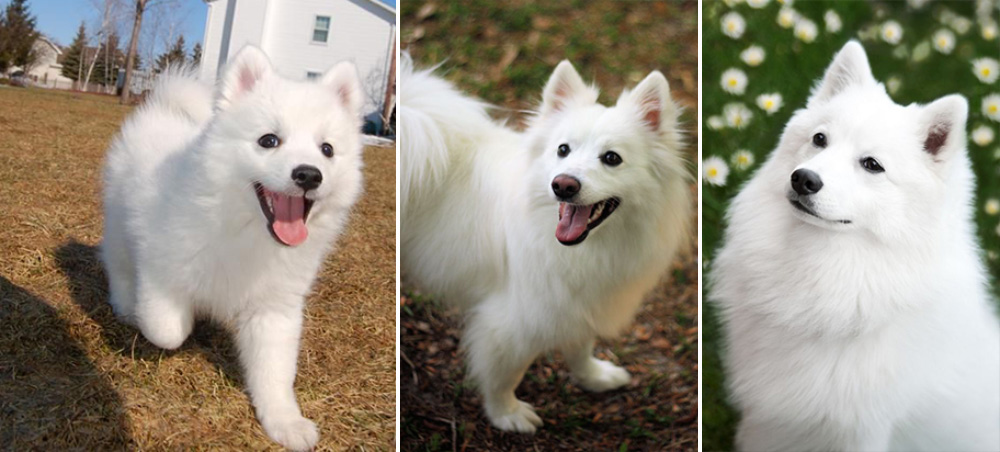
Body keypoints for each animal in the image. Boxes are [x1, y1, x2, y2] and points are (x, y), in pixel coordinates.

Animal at [99, 46, 366, 448]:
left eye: (327, 150)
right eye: (269, 140)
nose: (308, 174)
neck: (246, 230)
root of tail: (162, 109)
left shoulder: (275, 309)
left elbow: (275, 372)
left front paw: (285, 422)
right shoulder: (162, 270)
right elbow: (167, 329)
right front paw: (180, 322)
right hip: (118, 224)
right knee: (119, 265)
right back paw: (126, 305)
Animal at [396, 55, 688, 430]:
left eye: (612, 158)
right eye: (563, 150)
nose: (563, 184)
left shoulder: (576, 301)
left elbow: (580, 347)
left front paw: (595, 377)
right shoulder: (512, 320)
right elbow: (504, 373)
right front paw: (506, 414)